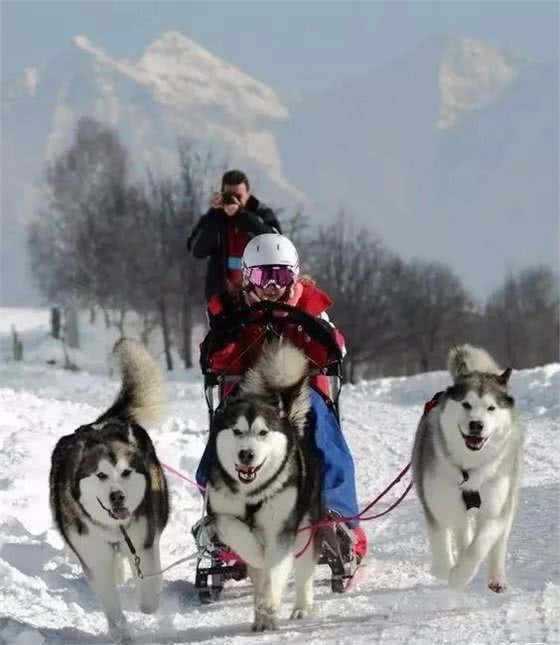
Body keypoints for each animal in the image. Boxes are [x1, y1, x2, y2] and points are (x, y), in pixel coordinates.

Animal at [50, 340, 168, 640]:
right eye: (101, 475)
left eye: (125, 473)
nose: (118, 496)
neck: (113, 529)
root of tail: (104, 422)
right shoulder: (93, 555)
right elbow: (108, 598)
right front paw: (120, 632)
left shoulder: (142, 542)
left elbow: (149, 587)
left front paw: (148, 603)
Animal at [206, 340, 322, 632]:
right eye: (236, 431)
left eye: (263, 432)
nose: (246, 454)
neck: (252, 494)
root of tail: (290, 421)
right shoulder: (221, 514)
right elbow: (241, 537)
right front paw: (256, 555)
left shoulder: (281, 528)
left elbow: (275, 568)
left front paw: (269, 600)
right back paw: (262, 618)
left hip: (306, 524)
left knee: (304, 568)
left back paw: (300, 606)